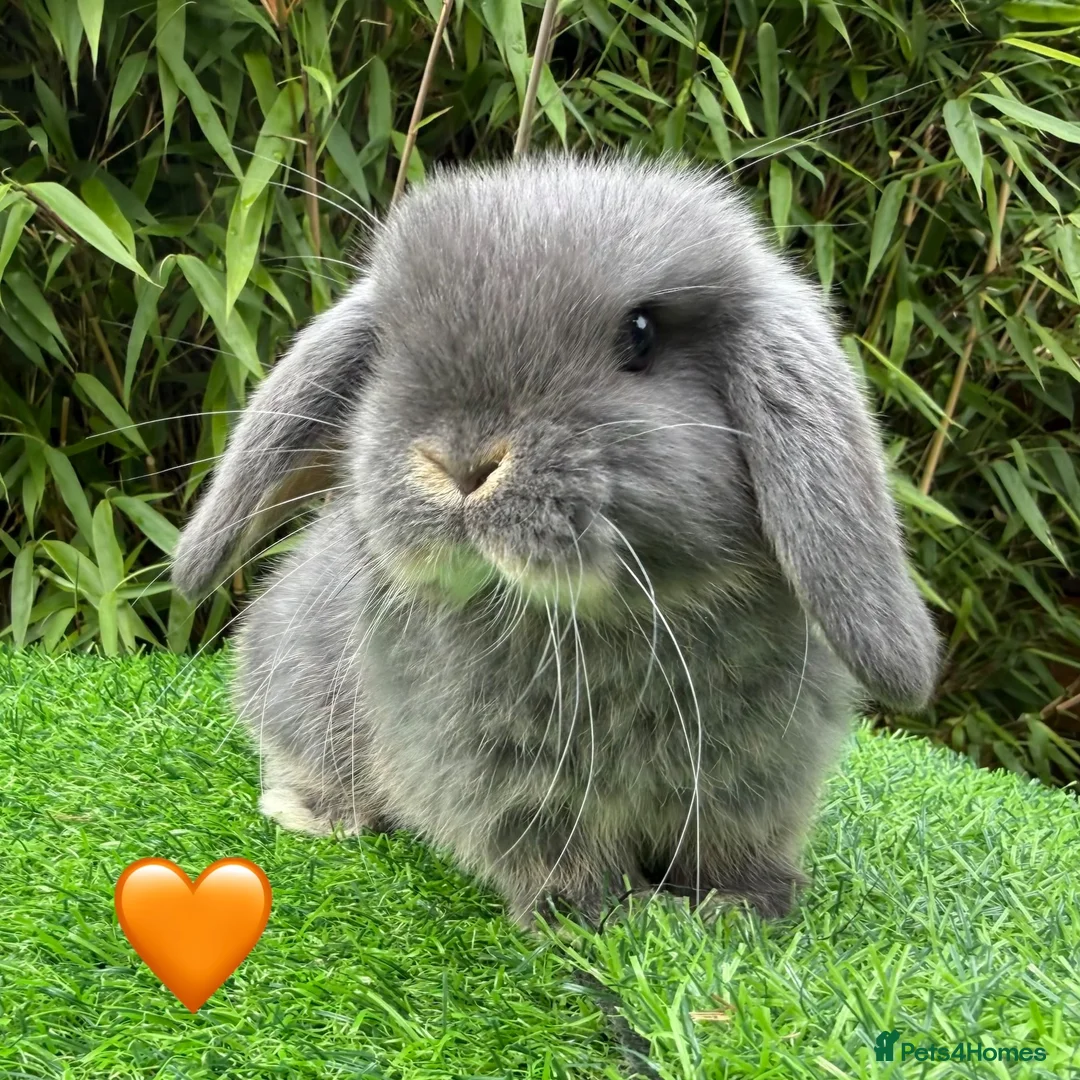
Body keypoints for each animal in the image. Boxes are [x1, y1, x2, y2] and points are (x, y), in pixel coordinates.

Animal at [172, 152, 940, 930]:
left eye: (640, 333)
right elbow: (557, 858)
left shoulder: (753, 780)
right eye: (388, 346)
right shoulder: (508, 786)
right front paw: (602, 918)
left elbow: (732, 849)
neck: (612, 620)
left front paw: (746, 907)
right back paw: (317, 813)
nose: (461, 464)